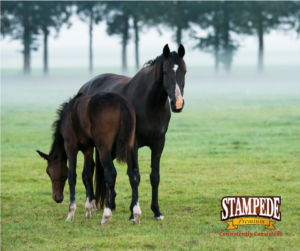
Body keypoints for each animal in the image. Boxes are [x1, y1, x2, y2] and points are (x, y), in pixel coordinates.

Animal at [36, 92, 142, 226]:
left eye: (48, 171)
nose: (57, 197)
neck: (68, 115)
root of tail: (121, 102)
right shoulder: (88, 149)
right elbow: (86, 175)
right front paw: (88, 212)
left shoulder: (70, 146)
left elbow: (72, 176)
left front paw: (71, 213)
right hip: (130, 145)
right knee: (133, 174)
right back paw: (136, 215)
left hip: (103, 148)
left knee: (111, 174)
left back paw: (106, 216)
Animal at [78, 43, 186, 220]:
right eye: (165, 72)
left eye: (184, 71)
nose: (177, 104)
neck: (149, 103)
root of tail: (86, 86)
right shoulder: (132, 144)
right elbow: (134, 175)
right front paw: (133, 212)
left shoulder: (159, 143)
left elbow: (154, 177)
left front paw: (156, 211)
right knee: (89, 171)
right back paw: (93, 205)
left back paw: (111, 203)